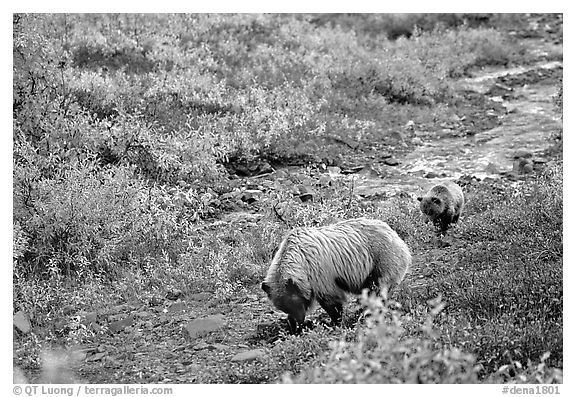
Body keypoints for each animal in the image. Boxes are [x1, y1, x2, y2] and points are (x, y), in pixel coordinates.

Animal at [258, 218, 412, 332]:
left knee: (378, 287)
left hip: (381, 259)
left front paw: (334, 321)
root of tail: (393, 232)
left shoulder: (319, 272)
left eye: (297, 303)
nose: (298, 322)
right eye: (283, 307)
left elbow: (331, 299)